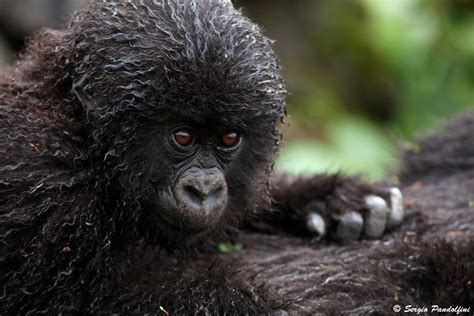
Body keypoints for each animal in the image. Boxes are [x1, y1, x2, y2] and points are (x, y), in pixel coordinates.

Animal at [0, 0, 404, 312]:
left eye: (229, 138)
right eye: (183, 136)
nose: (205, 190)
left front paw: (334, 199)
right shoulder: (44, 174)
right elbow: (79, 296)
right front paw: (249, 306)